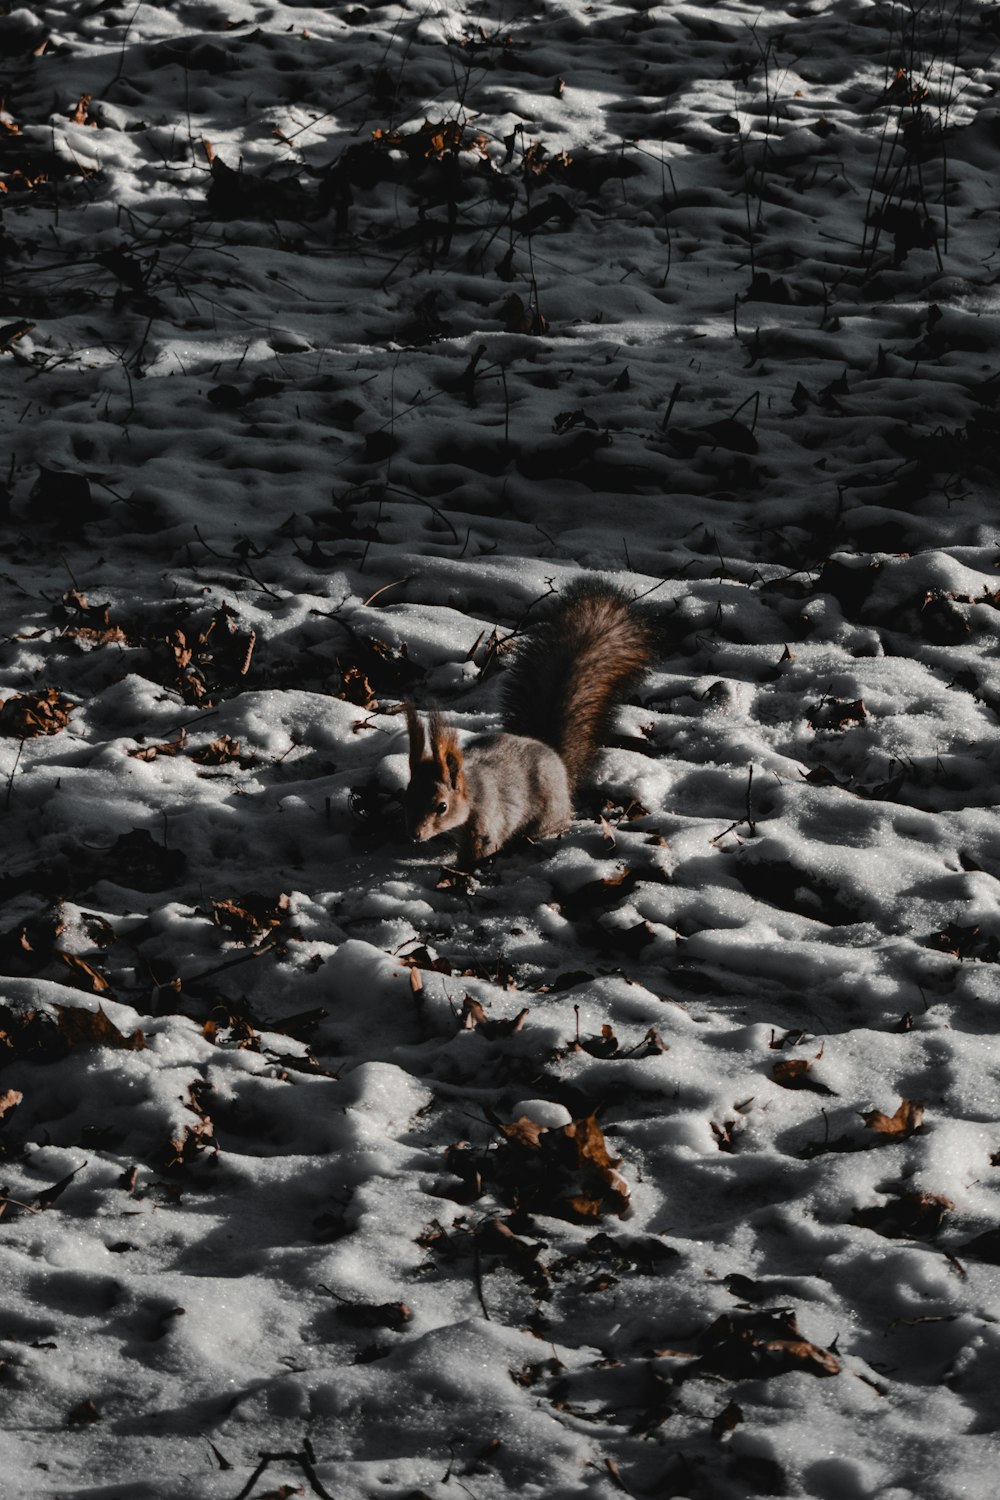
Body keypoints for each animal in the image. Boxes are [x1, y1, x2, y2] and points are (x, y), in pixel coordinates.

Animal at [401, 579, 653, 876]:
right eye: (407, 796)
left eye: (442, 806)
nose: (414, 834)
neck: (470, 791)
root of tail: (555, 756)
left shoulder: (488, 820)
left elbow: (481, 848)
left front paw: (462, 869)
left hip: (547, 812)